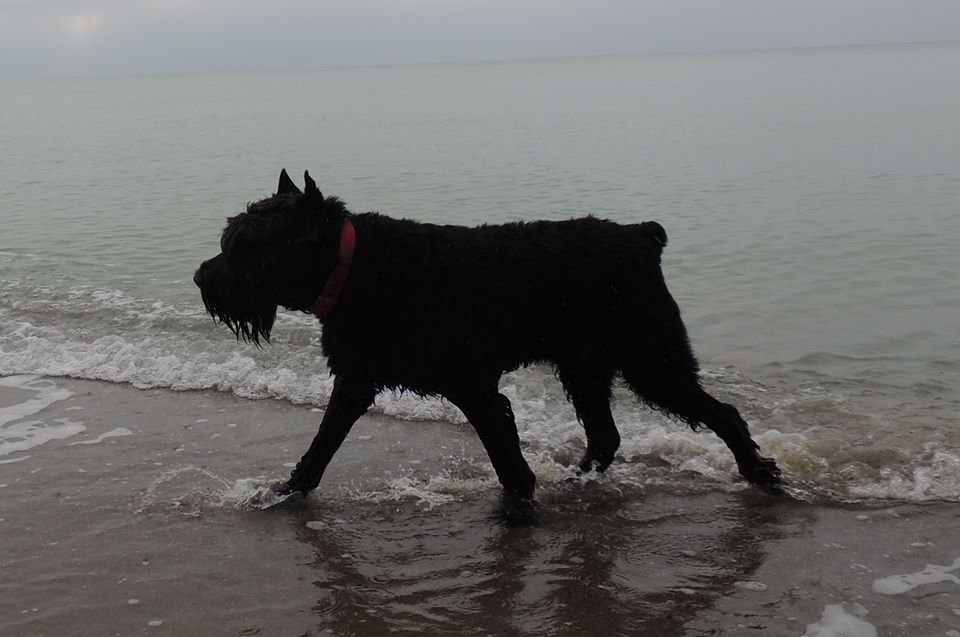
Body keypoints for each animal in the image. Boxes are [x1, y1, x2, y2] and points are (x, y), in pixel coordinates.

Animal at [194, 170, 781, 506]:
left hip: (651, 360)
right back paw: (575, 484)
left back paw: (760, 472)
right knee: (605, 436)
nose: (202, 278)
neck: (357, 269)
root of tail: (642, 236)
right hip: (586, 367)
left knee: (722, 414)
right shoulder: (356, 381)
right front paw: (285, 494)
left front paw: (520, 506)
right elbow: (321, 447)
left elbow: (508, 464)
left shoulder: (474, 388)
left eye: (248, 243)